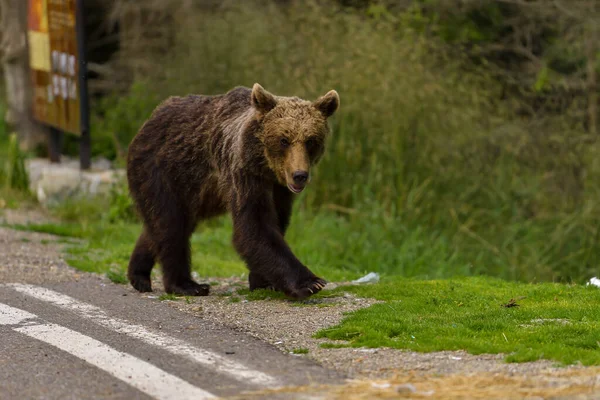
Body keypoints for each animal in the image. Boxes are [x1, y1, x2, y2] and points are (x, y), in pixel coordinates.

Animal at [125, 83, 338, 298]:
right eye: (284, 139)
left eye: (310, 140)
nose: (299, 175)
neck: (264, 166)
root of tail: (150, 118)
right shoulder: (243, 174)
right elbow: (254, 227)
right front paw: (310, 282)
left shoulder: (279, 189)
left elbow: (276, 223)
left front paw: (264, 281)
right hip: (163, 170)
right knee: (171, 224)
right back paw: (187, 285)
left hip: (193, 191)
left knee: (164, 225)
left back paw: (139, 275)